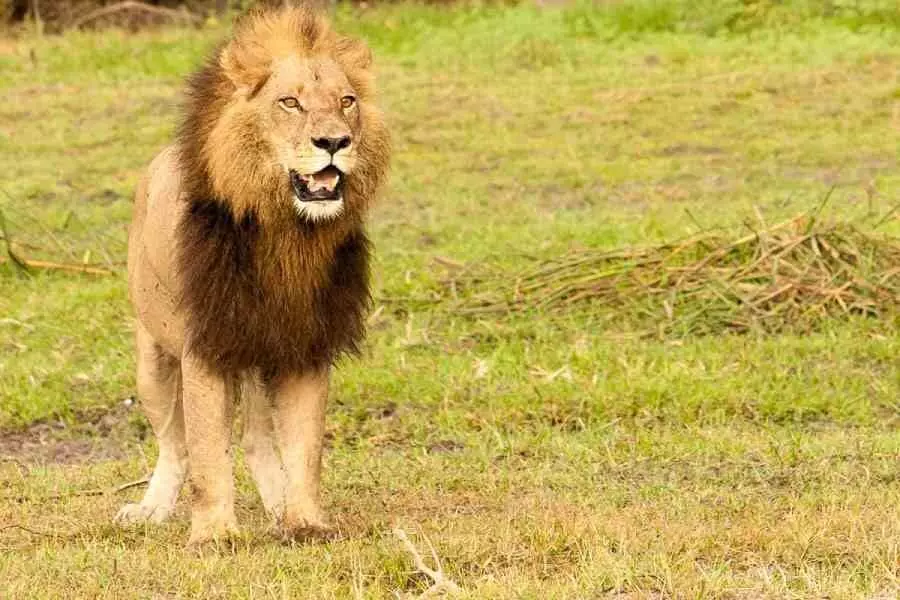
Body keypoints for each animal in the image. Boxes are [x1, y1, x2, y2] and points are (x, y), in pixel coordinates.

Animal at [115, 6, 389, 546]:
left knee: (258, 440)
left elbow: (305, 448)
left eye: (346, 101)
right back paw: (152, 507)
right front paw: (215, 536)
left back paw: (279, 507)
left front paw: (306, 522)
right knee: (175, 445)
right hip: (153, 361)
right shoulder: (205, 344)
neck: (285, 233)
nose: (334, 142)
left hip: (263, 353)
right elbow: (206, 452)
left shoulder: (305, 344)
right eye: (290, 103)